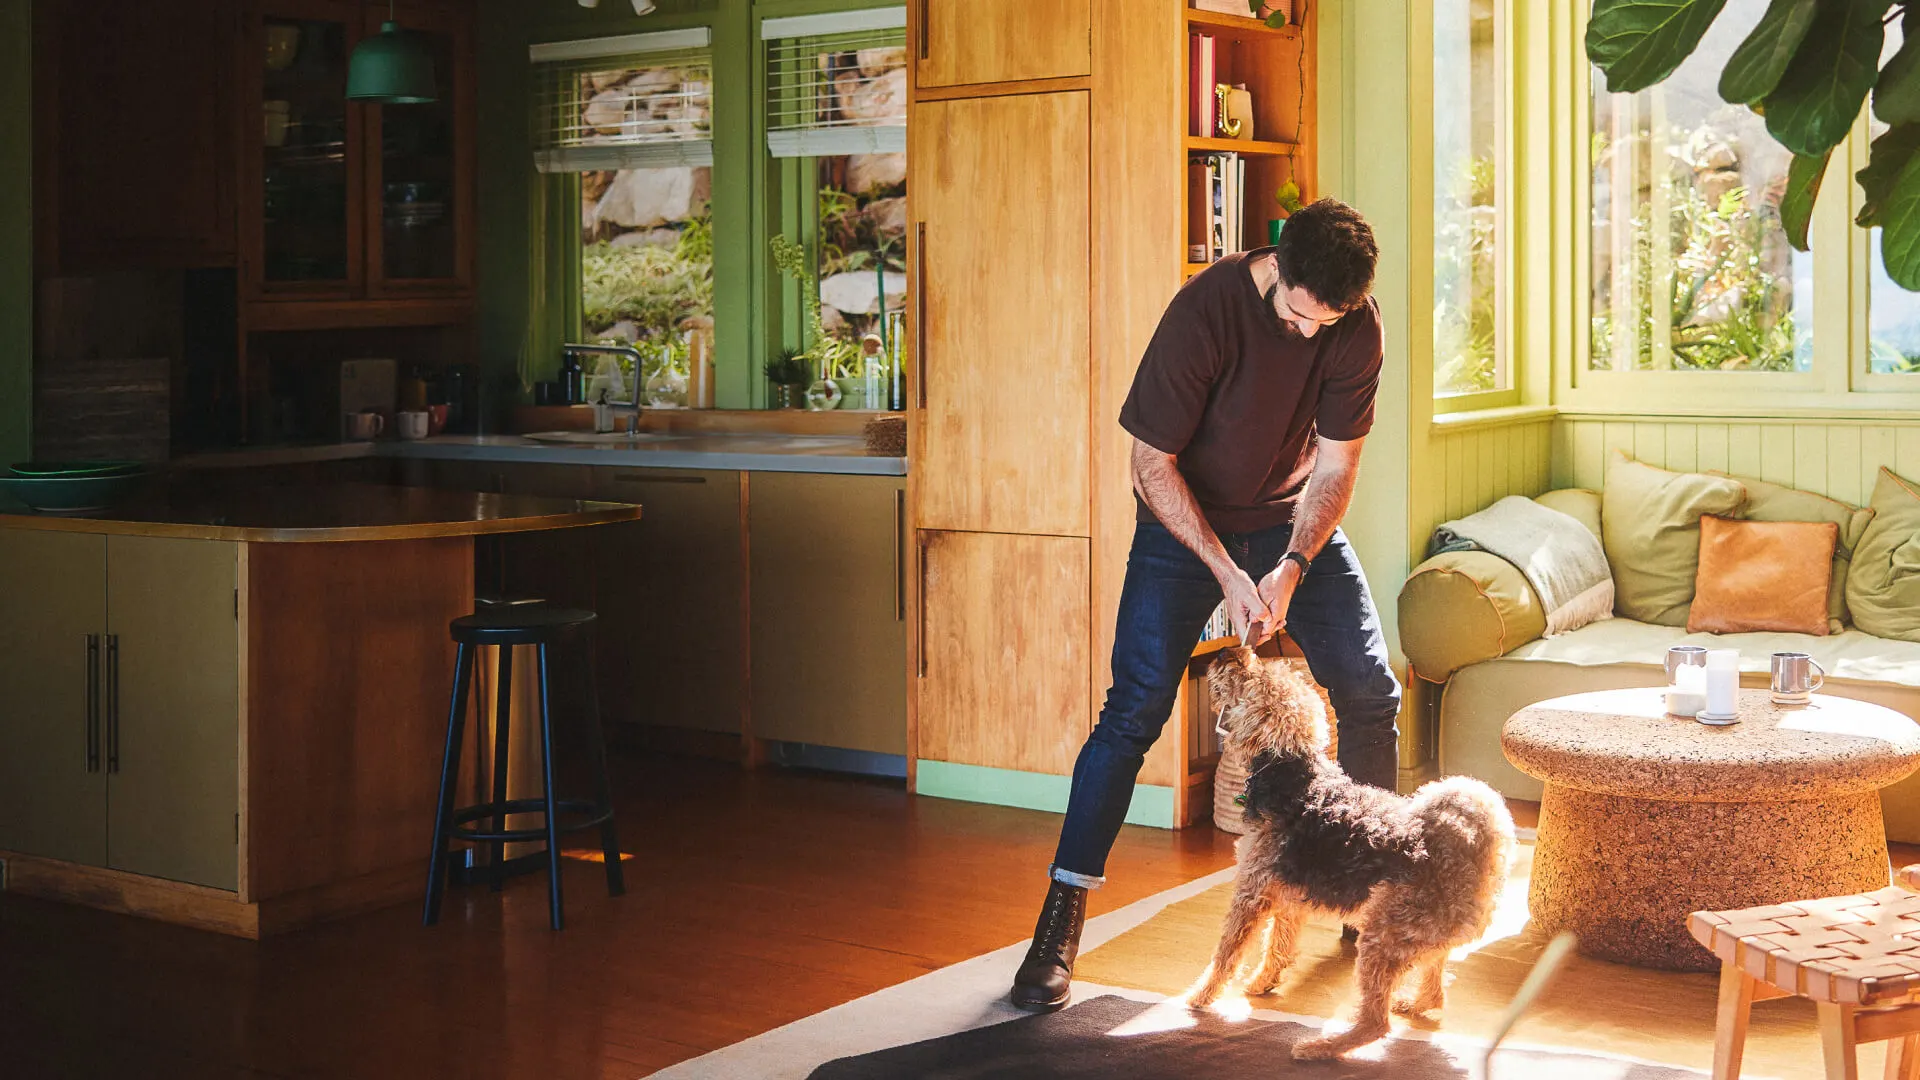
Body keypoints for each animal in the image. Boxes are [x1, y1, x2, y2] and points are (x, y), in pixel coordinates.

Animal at [1182, 641, 1512, 1053]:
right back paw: (1412, 1004)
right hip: (1420, 940)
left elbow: (1225, 956)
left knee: (1375, 1024)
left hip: (1380, 940)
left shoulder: (1251, 894)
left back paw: (1319, 1048)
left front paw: (1199, 998)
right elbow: (1278, 947)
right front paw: (1261, 984)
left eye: (1253, 679)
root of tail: (1476, 850)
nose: (1228, 652)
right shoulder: (1288, 895)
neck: (1293, 775)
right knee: (1435, 988)